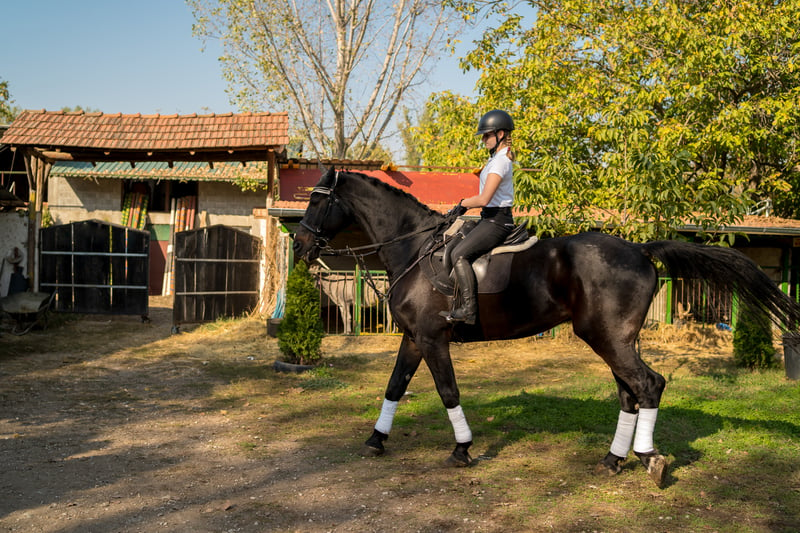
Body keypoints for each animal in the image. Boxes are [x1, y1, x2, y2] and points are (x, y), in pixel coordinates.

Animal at [292, 167, 800, 486]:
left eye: (318, 201)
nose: (299, 246)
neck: (414, 248)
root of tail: (639, 248)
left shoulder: (434, 338)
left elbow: (448, 392)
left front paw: (462, 450)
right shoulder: (415, 338)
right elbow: (395, 387)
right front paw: (375, 440)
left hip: (606, 337)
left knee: (648, 385)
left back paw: (648, 460)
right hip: (614, 339)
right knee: (630, 393)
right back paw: (614, 460)